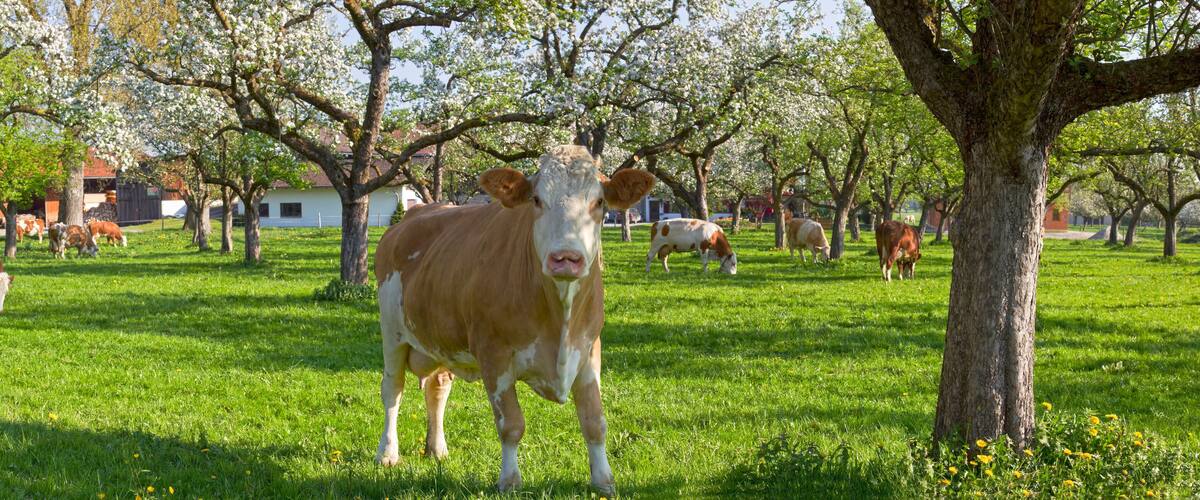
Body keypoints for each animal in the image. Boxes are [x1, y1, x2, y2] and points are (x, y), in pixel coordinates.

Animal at [372, 145, 654, 494]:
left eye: (599, 202)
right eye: (537, 200)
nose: (566, 258)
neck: (560, 318)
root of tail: (415, 214)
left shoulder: (589, 350)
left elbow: (595, 421)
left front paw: (603, 481)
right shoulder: (494, 355)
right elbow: (511, 424)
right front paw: (509, 480)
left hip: (441, 338)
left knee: (438, 389)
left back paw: (436, 449)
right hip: (392, 333)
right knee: (392, 391)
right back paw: (387, 453)